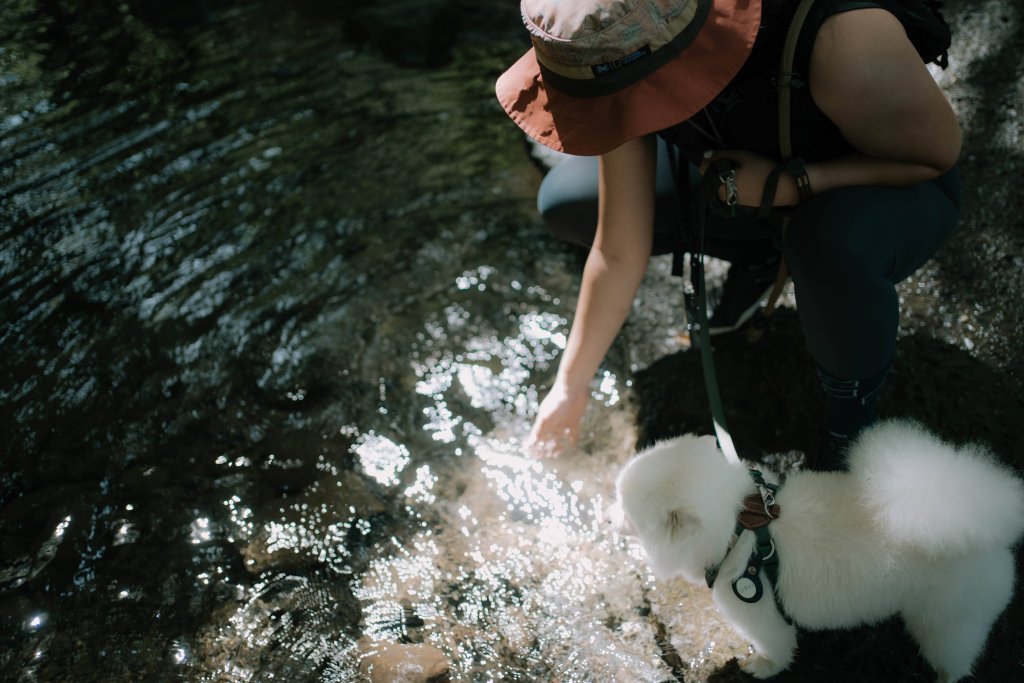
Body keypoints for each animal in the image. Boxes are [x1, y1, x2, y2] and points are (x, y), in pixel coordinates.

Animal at [614, 419, 1024, 679]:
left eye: (627, 513)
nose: (607, 514)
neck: (740, 526)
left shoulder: (763, 620)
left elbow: (775, 651)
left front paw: (761, 669)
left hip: (948, 623)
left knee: (953, 659)